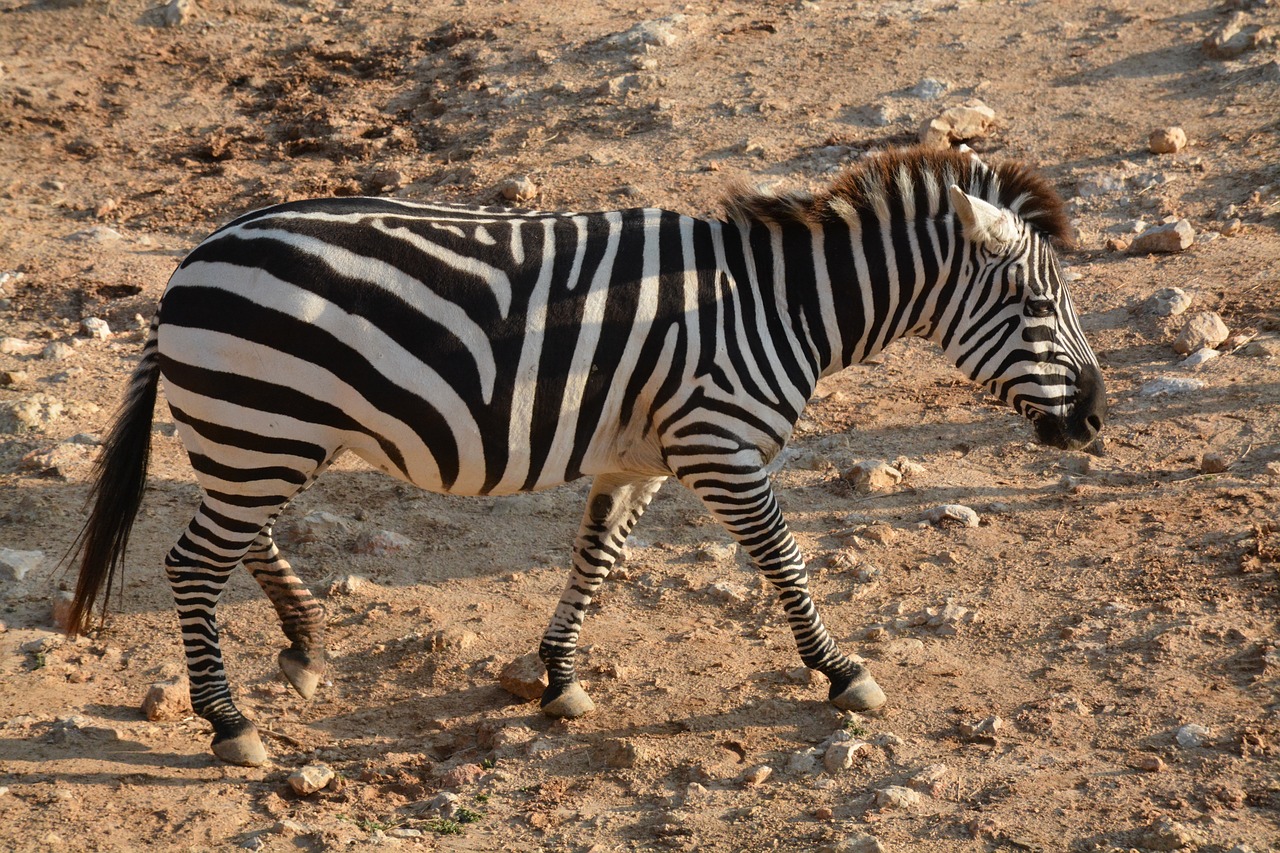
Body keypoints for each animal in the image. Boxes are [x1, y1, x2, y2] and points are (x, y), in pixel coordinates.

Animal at [70, 144, 1105, 763]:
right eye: (1037, 306)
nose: (1097, 419)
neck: (782, 305)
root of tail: (192, 260)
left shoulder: (638, 453)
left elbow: (596, 558)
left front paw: (560, 679)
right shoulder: (719, 443)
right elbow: (784, 560)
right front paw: (841, 672)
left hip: (269, 432)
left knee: (239, 540)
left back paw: (304, 643)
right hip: (265, 425)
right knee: (193, 561)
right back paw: (230, 722)